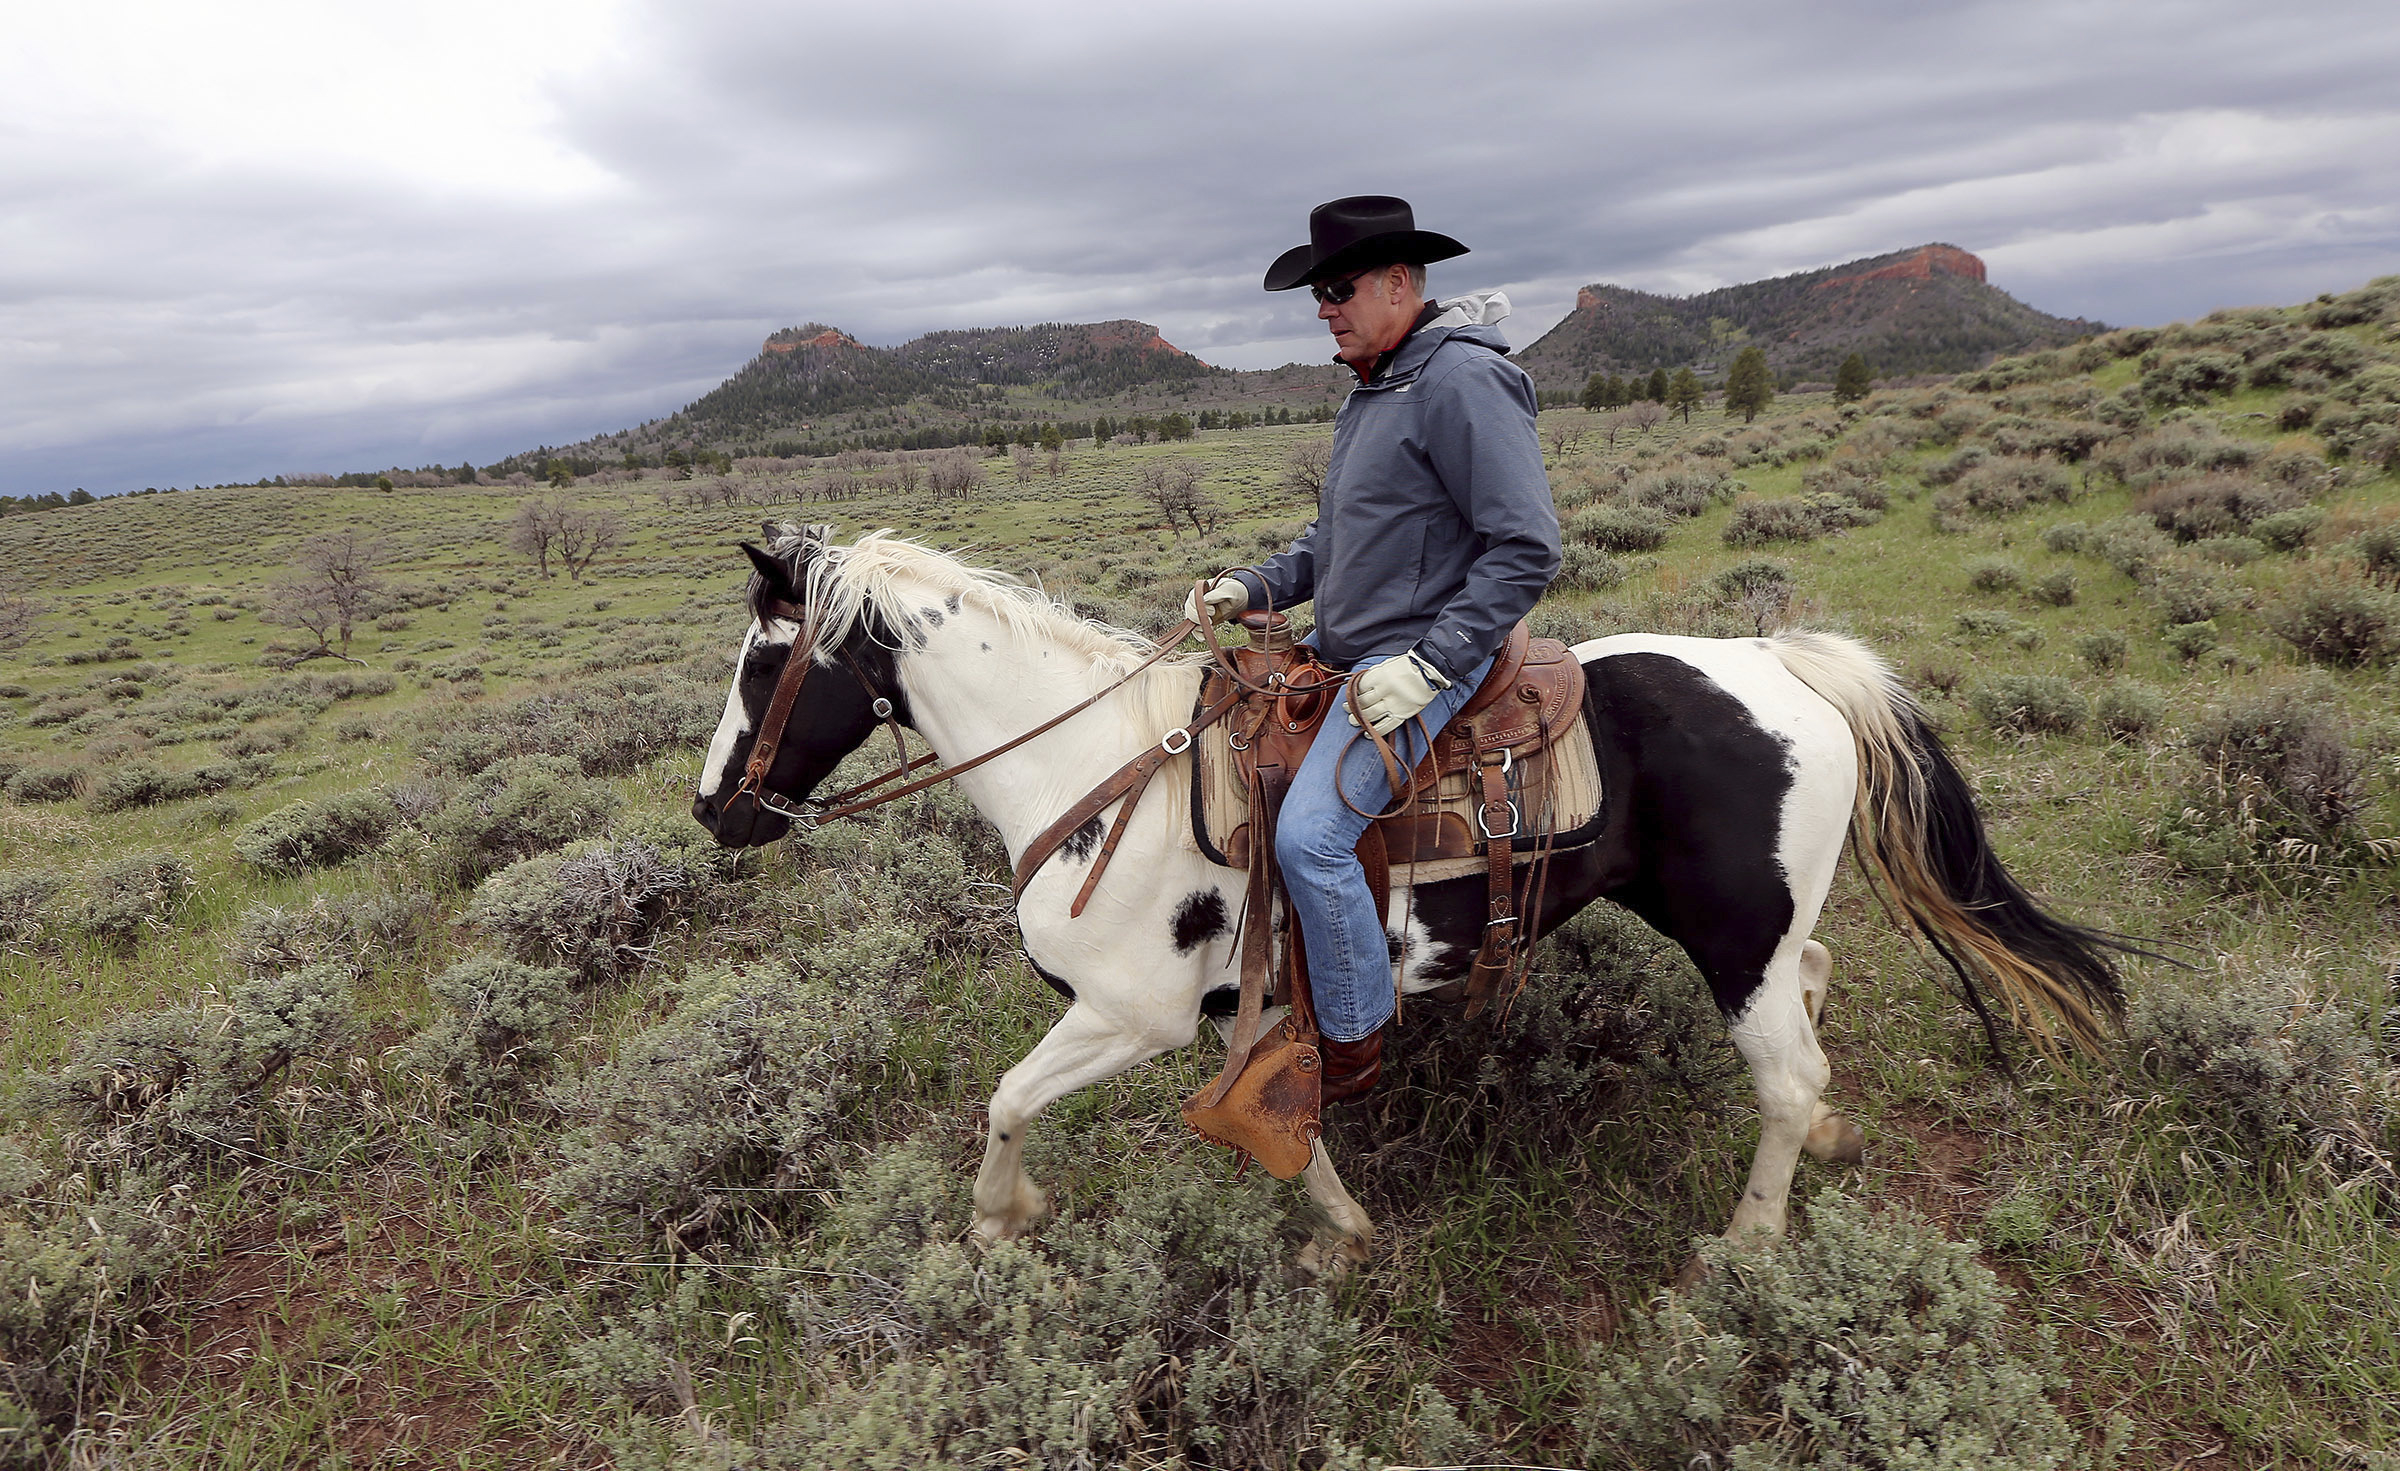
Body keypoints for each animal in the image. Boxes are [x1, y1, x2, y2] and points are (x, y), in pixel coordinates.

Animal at [686, 525, 2131, 1257]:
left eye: (763, 656)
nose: (712, 809)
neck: (1097, 769)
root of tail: (1782, 659)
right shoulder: (1243, 1010)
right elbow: (1290, 1123)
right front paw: (1341, 1225)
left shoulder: (1129, 1015)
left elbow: (1005, 1098)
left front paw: (1001, 1219)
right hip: (1764, 932)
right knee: (1817, 1002)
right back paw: (1825, 1147)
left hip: (1735, 942)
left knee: (1784, 1080)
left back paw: (1750, 1238)